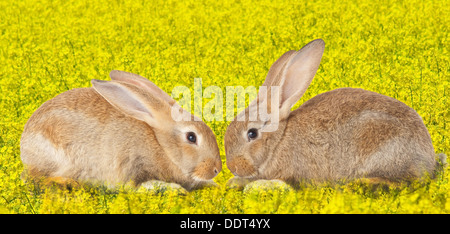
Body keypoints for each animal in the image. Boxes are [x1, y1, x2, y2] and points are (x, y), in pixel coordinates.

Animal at [20, 69, 222, 190]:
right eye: (191, 137)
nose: (216, 170)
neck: (161, 146)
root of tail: (24, 144)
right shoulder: (130, 166)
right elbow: (136, 187)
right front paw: (173, 189)